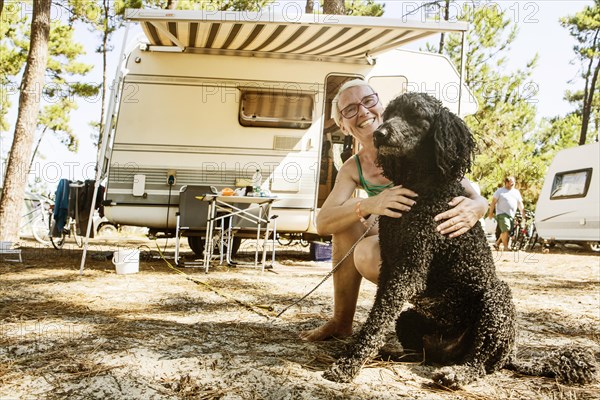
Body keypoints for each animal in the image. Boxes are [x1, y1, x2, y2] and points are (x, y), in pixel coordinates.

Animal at [326, 93, 596, 388]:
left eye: (416, 116)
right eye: (389, 114)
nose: (379, 134)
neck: (422, 188)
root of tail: (511, 354)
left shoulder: (409, 269)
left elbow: (378, 317)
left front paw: (349, 363)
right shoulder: (391, 263)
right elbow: (381, 312)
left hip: (496, 302)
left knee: (480, 361)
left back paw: (457, 373)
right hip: (411, 319)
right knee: (421, 353)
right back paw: (397, 354)